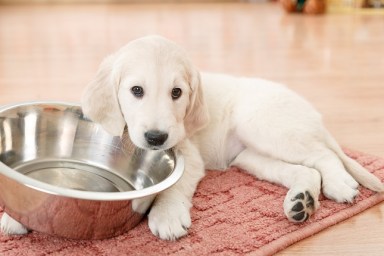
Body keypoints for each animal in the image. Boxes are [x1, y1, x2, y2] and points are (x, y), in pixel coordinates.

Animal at [1, 35, 382, 240]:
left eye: (177, 93)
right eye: (136, 90)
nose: (156, 138)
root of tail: (311, 113)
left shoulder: (188, 155)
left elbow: (173, 186)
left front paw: (167, 216)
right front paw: (15, 214)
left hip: (265, 124)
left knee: (323, 156)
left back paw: (339, 185)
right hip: (250, 157)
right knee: (305, 170)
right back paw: (302, 201)